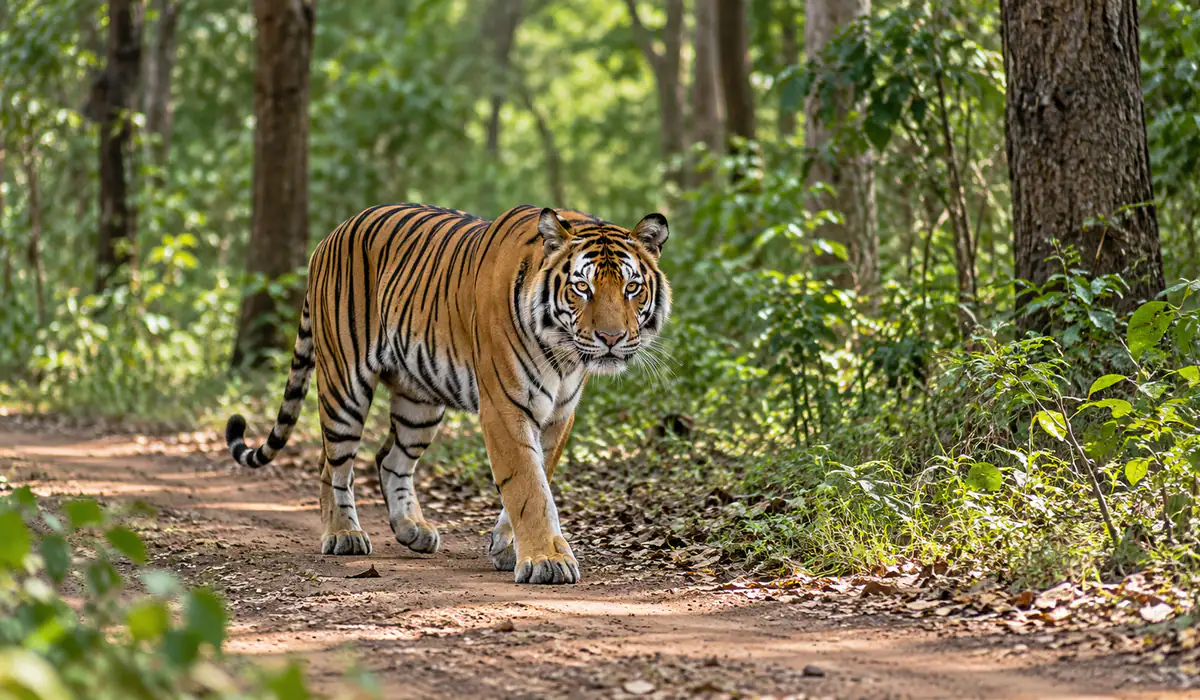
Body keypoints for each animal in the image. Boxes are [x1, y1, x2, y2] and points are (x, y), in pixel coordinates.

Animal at [224, 204, 671, 584]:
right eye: (581, 287)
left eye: (632, 287)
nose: (611, 338)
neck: (562, 352)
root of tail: (328, 237)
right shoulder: (505, 406)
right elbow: (528, 486)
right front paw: (546, 559)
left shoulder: (559, 413)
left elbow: (539, 476)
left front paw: (507, 547)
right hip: (344, 383)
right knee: (331, 462)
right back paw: (342, 534)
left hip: (418, 401)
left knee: (390, 459)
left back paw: (411, 530)